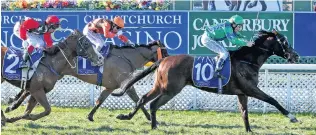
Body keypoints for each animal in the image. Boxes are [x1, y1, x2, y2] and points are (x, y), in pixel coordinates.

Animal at [111, 29, 302, 132]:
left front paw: (249, 130)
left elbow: (244, 112)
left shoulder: (242, 93)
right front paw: (292, 117)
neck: (247, 60)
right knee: (153, 103)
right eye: (284, 42)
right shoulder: (251, 89)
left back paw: (130, 118)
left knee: (144, 99)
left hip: (161, 86)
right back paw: (152, 125)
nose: (296, 56)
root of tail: (164, 59)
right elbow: (273, 100)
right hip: (171, 89)